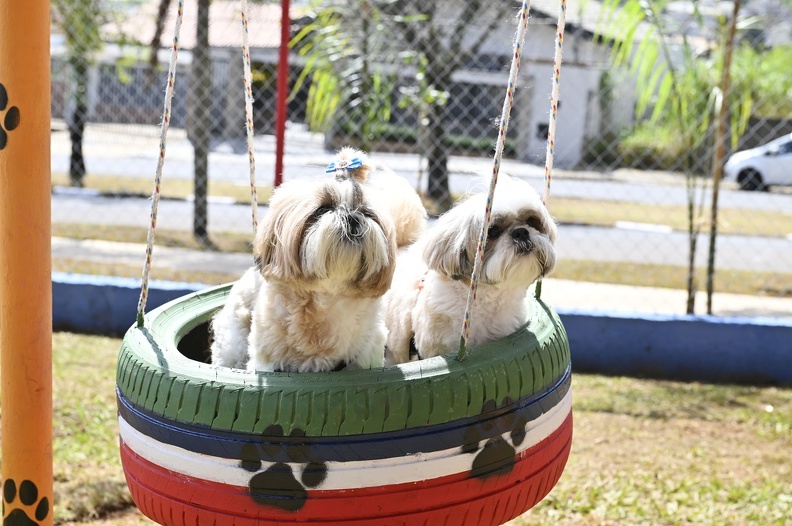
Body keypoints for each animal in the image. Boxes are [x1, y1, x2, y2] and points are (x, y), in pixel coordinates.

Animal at [207, 146, 424, 374]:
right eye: (323, 209)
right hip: (233, 345)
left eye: (366, 213)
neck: (327, 298)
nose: (352, 217)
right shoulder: (266, 362)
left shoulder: (366, 356)